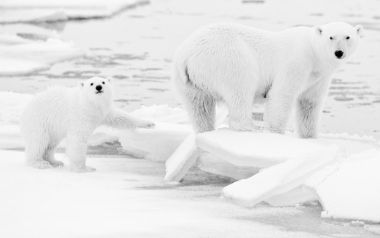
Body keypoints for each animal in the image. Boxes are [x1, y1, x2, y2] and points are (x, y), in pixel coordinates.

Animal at [20, 77, 154, 172]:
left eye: (103, 82)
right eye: (91, 83)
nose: (99, 87)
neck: (90, 105)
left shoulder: (103, 113)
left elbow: (119, 117)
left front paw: (149, 123)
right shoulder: (79, 116)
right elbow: (78, 140)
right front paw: (84, 168)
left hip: (52, 128)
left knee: (51, 144)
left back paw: (55, 161)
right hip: (40, 121)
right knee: (39, 141)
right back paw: (39, 163)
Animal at [173, 22, 362, 138]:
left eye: (348, 37)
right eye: (331, 37)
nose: (339, 52)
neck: (314, 54)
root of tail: (187, 54)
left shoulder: (318, 78)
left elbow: (309, 104)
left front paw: (310, 136)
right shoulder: (297, 62)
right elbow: (281, 94)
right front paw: (276, 132)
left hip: (189, 81)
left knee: (200, 106)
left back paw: (205, 129)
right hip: (228, 57)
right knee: (240, 88)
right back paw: (248, 127)